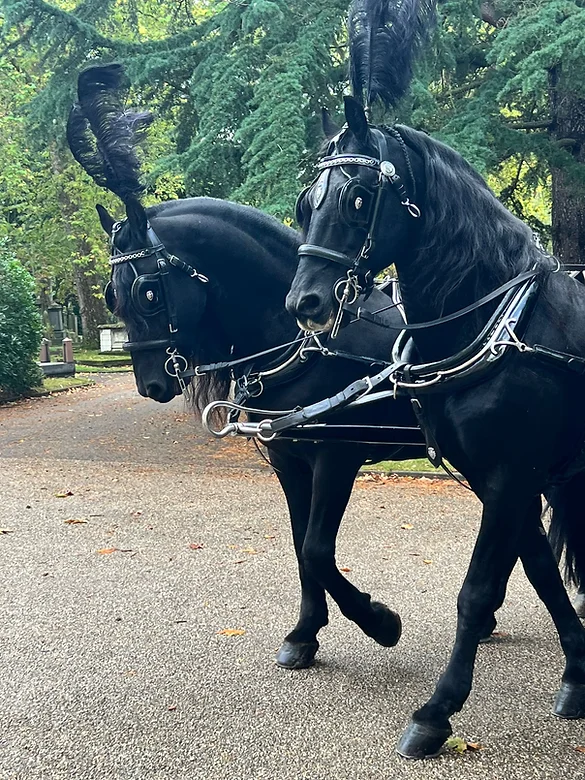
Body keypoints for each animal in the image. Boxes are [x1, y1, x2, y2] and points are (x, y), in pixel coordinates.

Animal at [67, 63, 431, 671]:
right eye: (111, 295)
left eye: (147, 292)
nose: (150, 384)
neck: (306, 341)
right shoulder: (289, 461)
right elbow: (302, 547)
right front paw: (305, 633)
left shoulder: (335, 457)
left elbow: (317, 548)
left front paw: (380, 621)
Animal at [284, 3, 585, 756]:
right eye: (306, 201)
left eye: (360, 197)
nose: (304, 302)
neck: (496, 323)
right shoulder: (503, 478)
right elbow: (540, 571)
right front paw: (577, 672)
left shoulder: (511, 474)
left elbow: (477, 591)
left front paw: (437, 710)